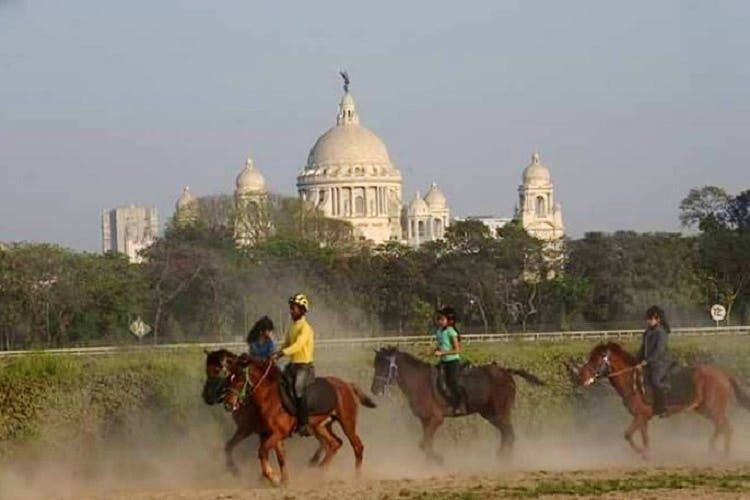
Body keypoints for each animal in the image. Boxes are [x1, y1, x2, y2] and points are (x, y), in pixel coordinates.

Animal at [222, 356, 376, 484]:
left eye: (240, 380)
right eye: (229, 378)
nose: (228, 404)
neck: (269, 397)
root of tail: (347, 385)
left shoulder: (277, 434)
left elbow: (262, 451)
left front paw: (273, 477)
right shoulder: (268, 434)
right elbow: (280, 457)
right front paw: (283, 481)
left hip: (347, 423)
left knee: (357, 446)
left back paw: (356, 477)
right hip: (321, 426)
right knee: (334, 443)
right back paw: (320, 470)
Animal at [372, 346, 544, 462]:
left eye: (384, 365)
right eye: (375, 365)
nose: (374, 389)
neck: (419, 381)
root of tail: (506, 372)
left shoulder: (436, 419)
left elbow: (424, 443)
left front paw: (438, 459)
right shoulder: (425, 420)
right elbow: (426, 443)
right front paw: (430, 462)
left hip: (500, 412)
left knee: (509, 435)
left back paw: (504, 461)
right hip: (490, 414)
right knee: (507, 434)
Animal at [584, 344, 750, 458]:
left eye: (596, 360)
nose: (581, 377)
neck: (632, 381)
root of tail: (723, 374)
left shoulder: (641, 416)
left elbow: (633, 435)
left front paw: (644, 453)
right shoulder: (642, 418)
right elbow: (637, 436)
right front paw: (645, 452)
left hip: (713, 409)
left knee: (726, 428)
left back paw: (723, 453)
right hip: (705, 409)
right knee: (722, 427)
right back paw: (714, 449)